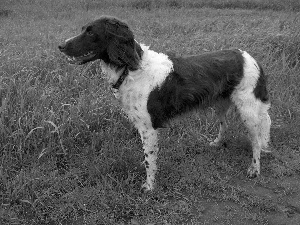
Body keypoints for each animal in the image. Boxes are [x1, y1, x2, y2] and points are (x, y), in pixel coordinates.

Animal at [59, 15, 272, 192]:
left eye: (91, 32)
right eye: (83, 29)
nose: (61, 45)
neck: (131, 69)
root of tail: (250, 57)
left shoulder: (148, 127)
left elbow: (149, 160)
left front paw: (149, 186)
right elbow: (148, 156)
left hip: (249, 110)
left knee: (256, 140)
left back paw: (254, 168)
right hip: (220, 103)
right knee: (225, 124)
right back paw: (217, 143)